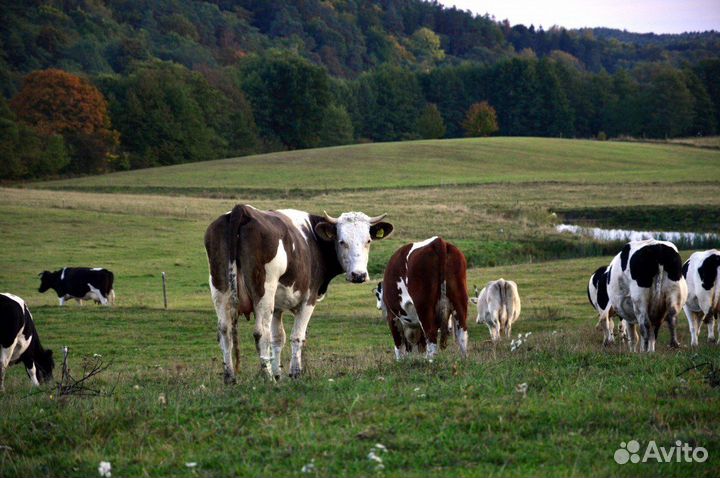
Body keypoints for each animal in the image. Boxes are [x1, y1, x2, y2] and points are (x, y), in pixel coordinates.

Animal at [205, 205, 393, 383]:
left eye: (368, 240)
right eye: (341, 241)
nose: (358, 275)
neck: (313, 240)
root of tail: (242, 210)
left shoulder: (277, 306)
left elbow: (278, 338)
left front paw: (279, 374)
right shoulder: (308, 299)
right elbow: (297, 336)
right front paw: (294, 373)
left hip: (220, 288)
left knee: (225, 330)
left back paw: (230, 377)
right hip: (264, 290)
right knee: (260, 332)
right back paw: (267, 377)